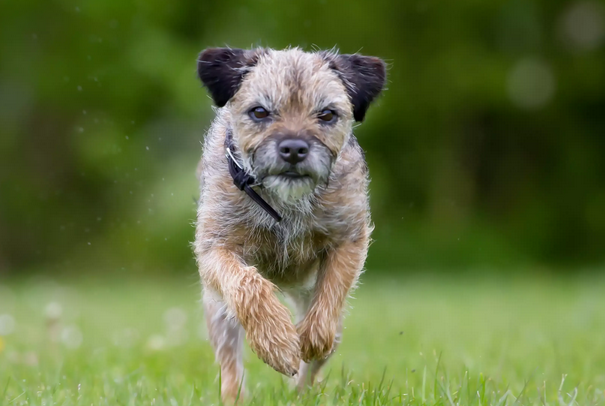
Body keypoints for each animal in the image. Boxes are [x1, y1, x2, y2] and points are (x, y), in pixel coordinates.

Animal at [193, 46, 382, 402]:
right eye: (260, 112)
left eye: (327, 114)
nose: (294, 148)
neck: (285, 202)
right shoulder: (214, 246)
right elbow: (246, 283)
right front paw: (277, 342)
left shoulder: (349, 237)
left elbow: (332, 293)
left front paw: (309, 340)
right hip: (219, 313)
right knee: (230, 364)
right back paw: (236, 398)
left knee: (322, 352)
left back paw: (302, 393)